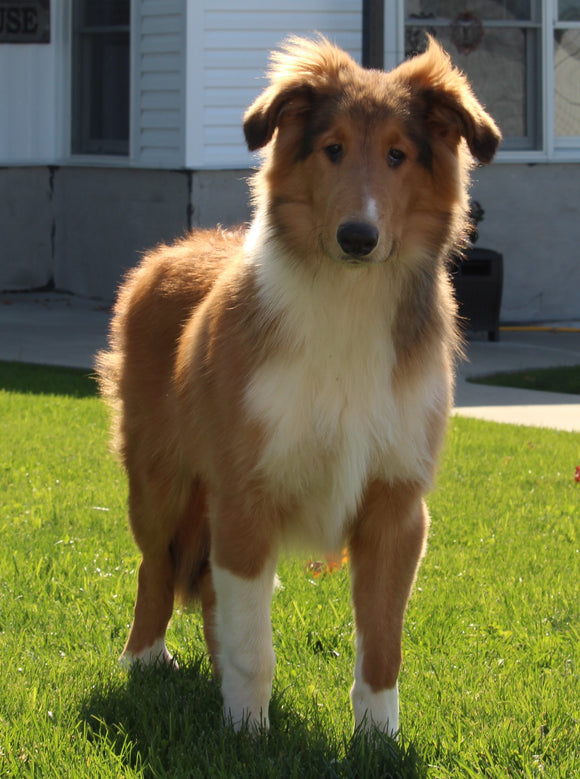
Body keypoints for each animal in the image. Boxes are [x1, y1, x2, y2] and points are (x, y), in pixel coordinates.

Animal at [96, 35, 498, 732]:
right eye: (331, 148)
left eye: (397, 155)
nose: (358, 237)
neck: (348, 298)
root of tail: (170, 252)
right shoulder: (246, 491)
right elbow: (254, 642)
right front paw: (246, 733)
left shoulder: (396, 506)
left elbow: (382, 640)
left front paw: (377, 736)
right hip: (159, 479)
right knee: (157, 567)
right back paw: (144, 660)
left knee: (205, 589)